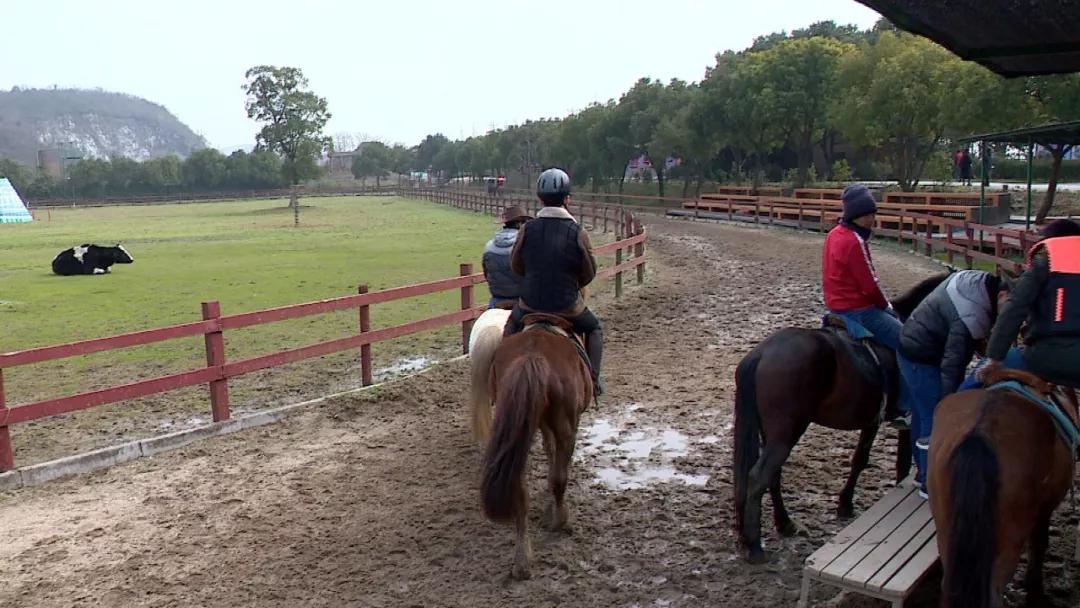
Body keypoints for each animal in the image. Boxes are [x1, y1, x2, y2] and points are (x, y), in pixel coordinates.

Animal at [481, 319, 596, 578]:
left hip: (518, 432)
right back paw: (561, 521)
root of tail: (532, 355)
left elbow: (549, 449)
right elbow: (557, 464)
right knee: (559, 478)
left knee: (520, 491)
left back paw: (522, 560)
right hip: (565, 425)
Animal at [730, 273, 950, 565]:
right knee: (758, 477)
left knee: (772, 475)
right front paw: (847, 503)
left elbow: (879, 459)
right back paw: (755, 545)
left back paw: (784, 524)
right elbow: (874, 460)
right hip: (786, 432)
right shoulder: (891, 420)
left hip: (772, 432)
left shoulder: (878, 421)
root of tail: (763, 352)